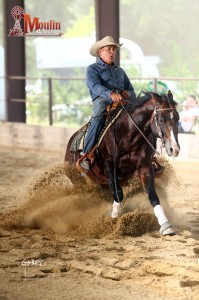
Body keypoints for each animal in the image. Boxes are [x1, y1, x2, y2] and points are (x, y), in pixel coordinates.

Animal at [64, 90, 180, 236]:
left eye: (178, 119)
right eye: (160, 120)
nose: (174, 149)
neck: (128, 134)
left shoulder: (145, 167)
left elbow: (153, 195)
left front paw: (166, 225)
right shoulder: (109, 166)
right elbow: (118, 193)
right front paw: (114, 217)